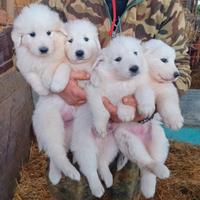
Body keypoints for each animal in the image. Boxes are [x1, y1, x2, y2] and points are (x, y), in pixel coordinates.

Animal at [71, 35, 159, 197]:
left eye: (136, 53)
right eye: (118, 59)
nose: (135, 68)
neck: (120, 81)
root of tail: (98, 147)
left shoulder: (139, 85)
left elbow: (140, 91)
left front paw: (138, 109)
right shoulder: (93, 92)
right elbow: (101, 110)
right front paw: (100, 126)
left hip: (112, 147)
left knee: (102, 163)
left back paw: (108, 179)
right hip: (85, 148)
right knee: (90, 170)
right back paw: (97, 188)